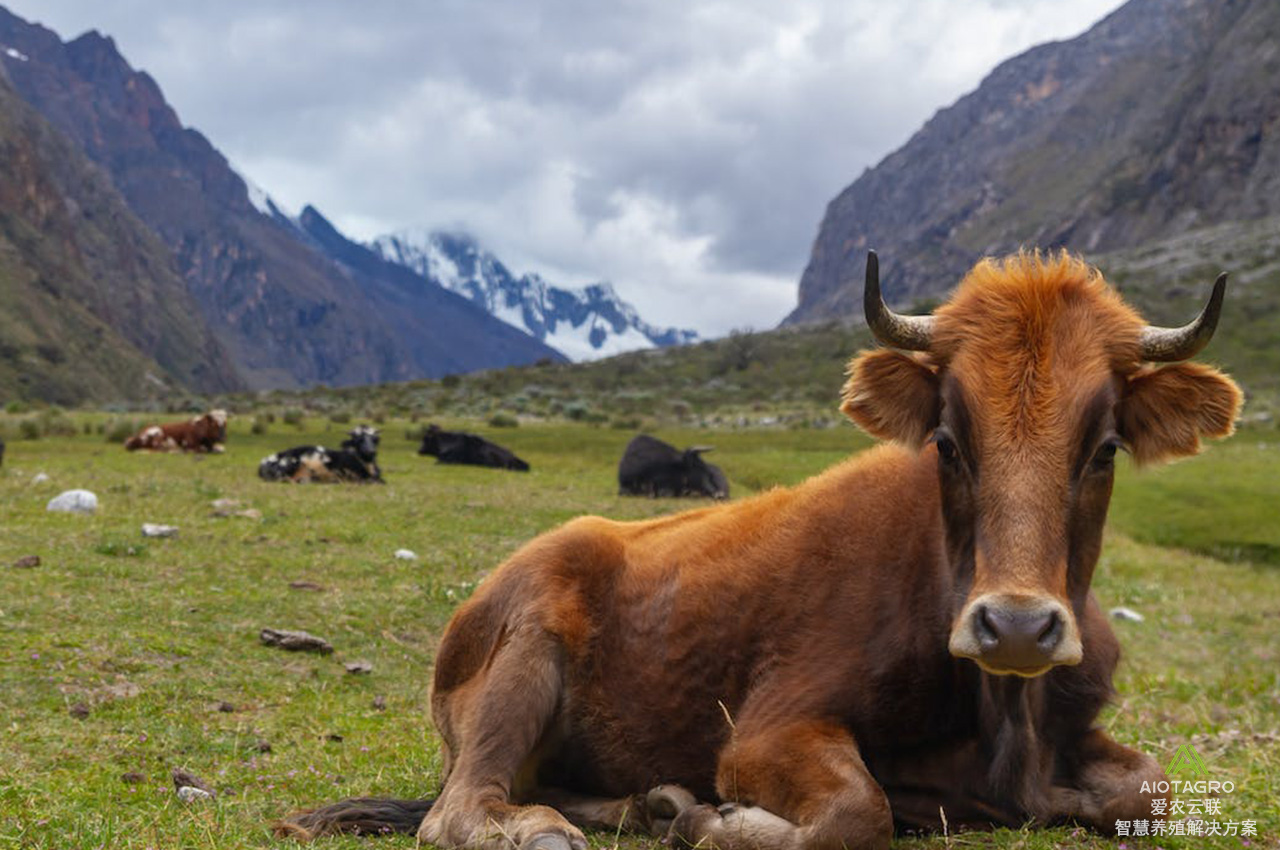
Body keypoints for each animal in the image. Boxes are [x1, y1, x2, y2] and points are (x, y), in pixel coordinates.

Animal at [277, 252, 1239, 850]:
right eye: (947, 441)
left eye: (1105, 447)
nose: (1014, 627)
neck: (1006, 708)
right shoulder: (766, 730)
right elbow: (858, 811)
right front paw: (712, 820)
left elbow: (1153, 789)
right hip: (524, 657)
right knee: (461, 806)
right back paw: (568, 825)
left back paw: (645, 802)